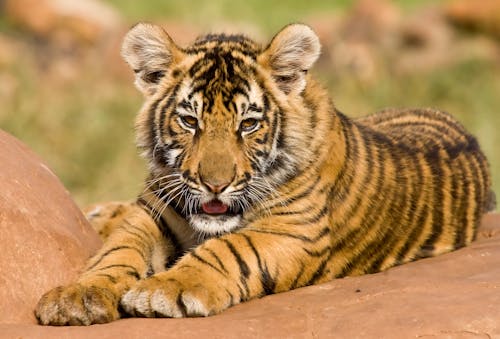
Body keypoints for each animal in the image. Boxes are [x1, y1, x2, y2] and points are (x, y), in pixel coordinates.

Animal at [35, 22, 496, 326]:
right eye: (189, 121)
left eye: (248, 124)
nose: (215, 185)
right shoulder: (152, 210)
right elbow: (118, 250)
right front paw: (77, 297)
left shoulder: (293, 230)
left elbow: (230, 249)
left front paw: (162, 290)